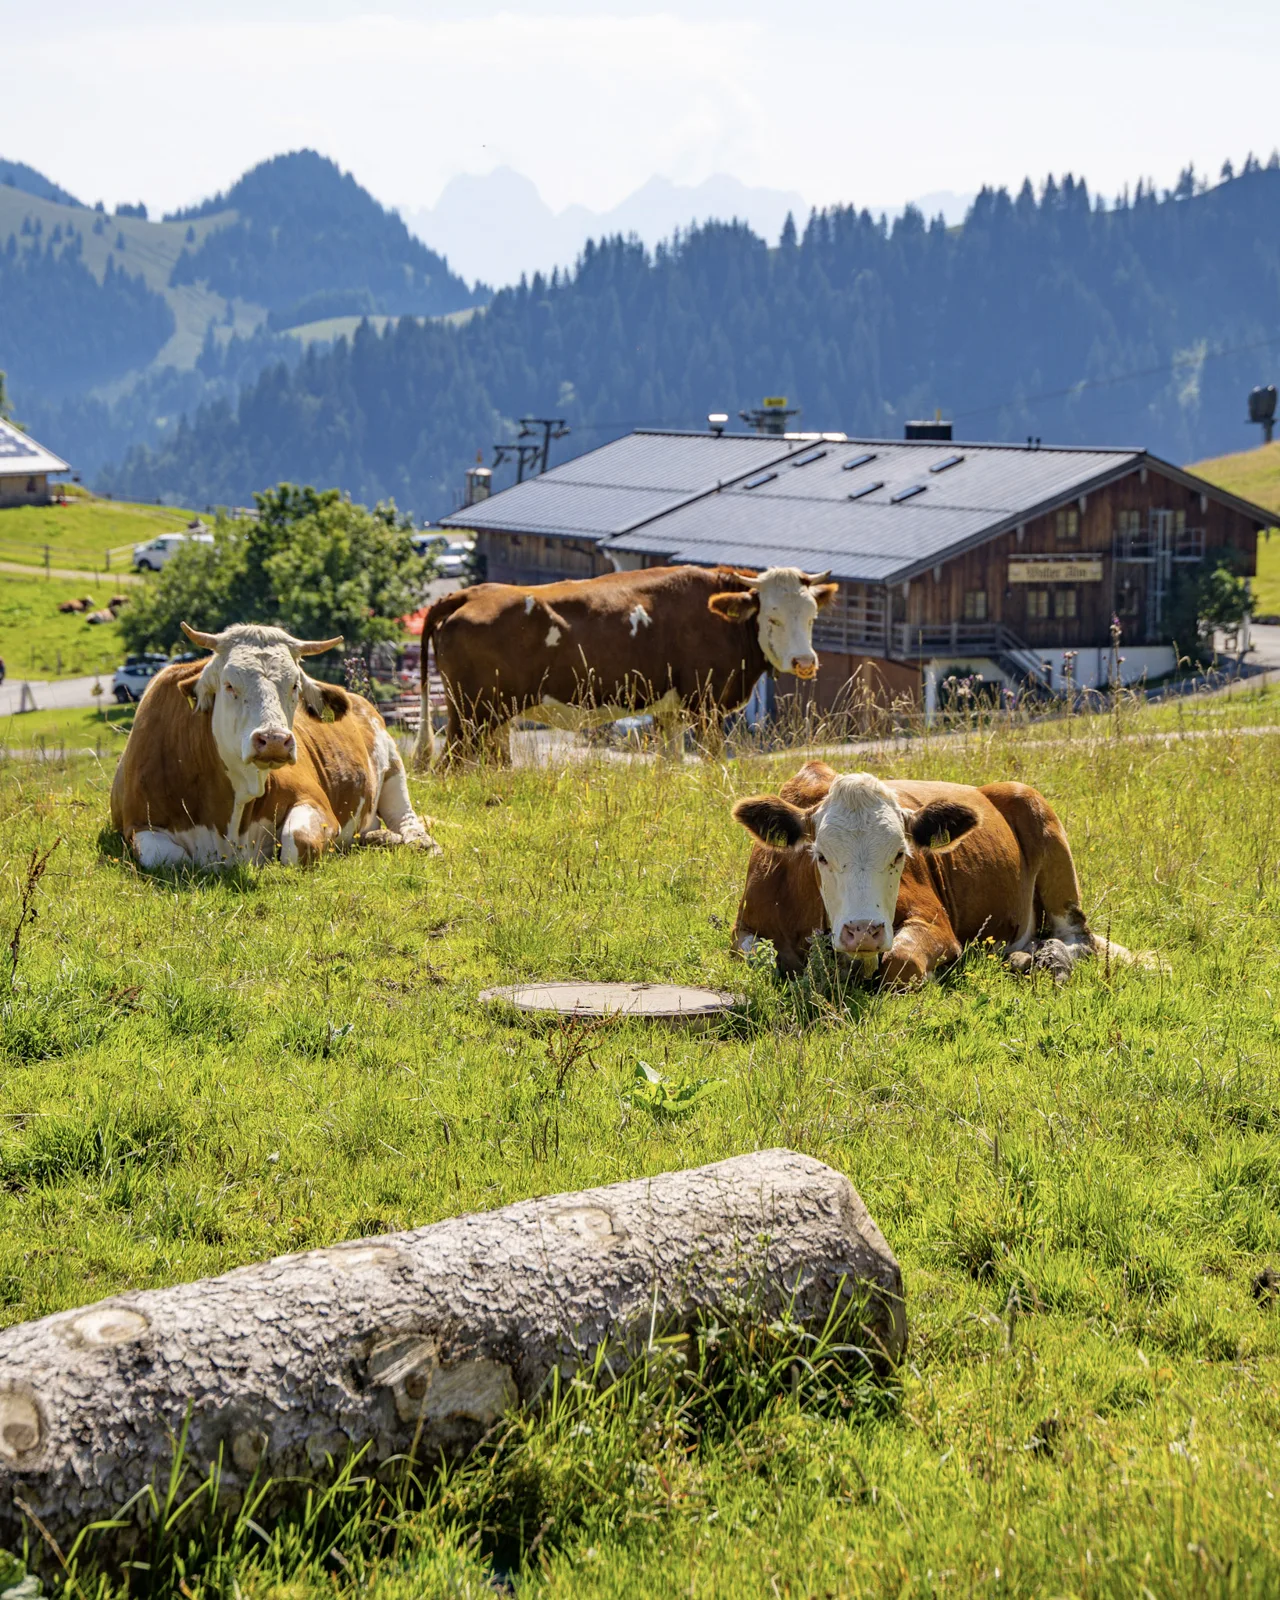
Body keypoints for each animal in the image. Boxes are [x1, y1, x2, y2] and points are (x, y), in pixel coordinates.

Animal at [110, 622, 438, 869]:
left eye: (294, 685)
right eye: (229, 685)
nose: (274, 741)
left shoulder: (315, 804)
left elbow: (297, 843)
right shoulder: (137, 825)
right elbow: (167, 857)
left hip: (393, 768)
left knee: (406, 820)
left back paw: (417, 842)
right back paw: (377, 838)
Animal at [413, 565, 838, 768]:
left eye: (812, 615)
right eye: (773, 616)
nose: (804, 662)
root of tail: (469, 593)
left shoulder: (669, 711)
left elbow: (670, 764)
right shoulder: (705, 704)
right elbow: (714, 760)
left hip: (490, 716)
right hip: (471, 714)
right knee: (449, 767)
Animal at [730, 760, 1138, 987]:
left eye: (900, 854)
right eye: (821, 856)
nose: (863, 930)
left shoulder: (935, 923)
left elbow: (903, 962)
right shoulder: (744, 930)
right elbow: (753, 955)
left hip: (1045, 836)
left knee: (1079, 938)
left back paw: (1046, 959)